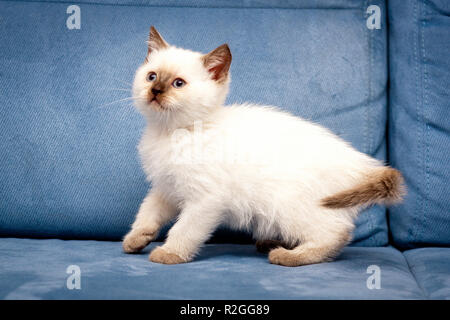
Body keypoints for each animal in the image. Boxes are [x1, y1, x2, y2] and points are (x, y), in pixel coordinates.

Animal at [123, 26, 404, 268]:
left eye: (178, 83)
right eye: (152, 76)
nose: (156, 90)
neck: (170, 132)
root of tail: (361, 164)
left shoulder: (206, 199)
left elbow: (184, 229)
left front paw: (169, 253)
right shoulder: (166, 188)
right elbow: (147, 212)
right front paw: (136, 239)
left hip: (287, 204)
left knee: (335, 233)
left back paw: (288, 255)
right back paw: (272, 243)